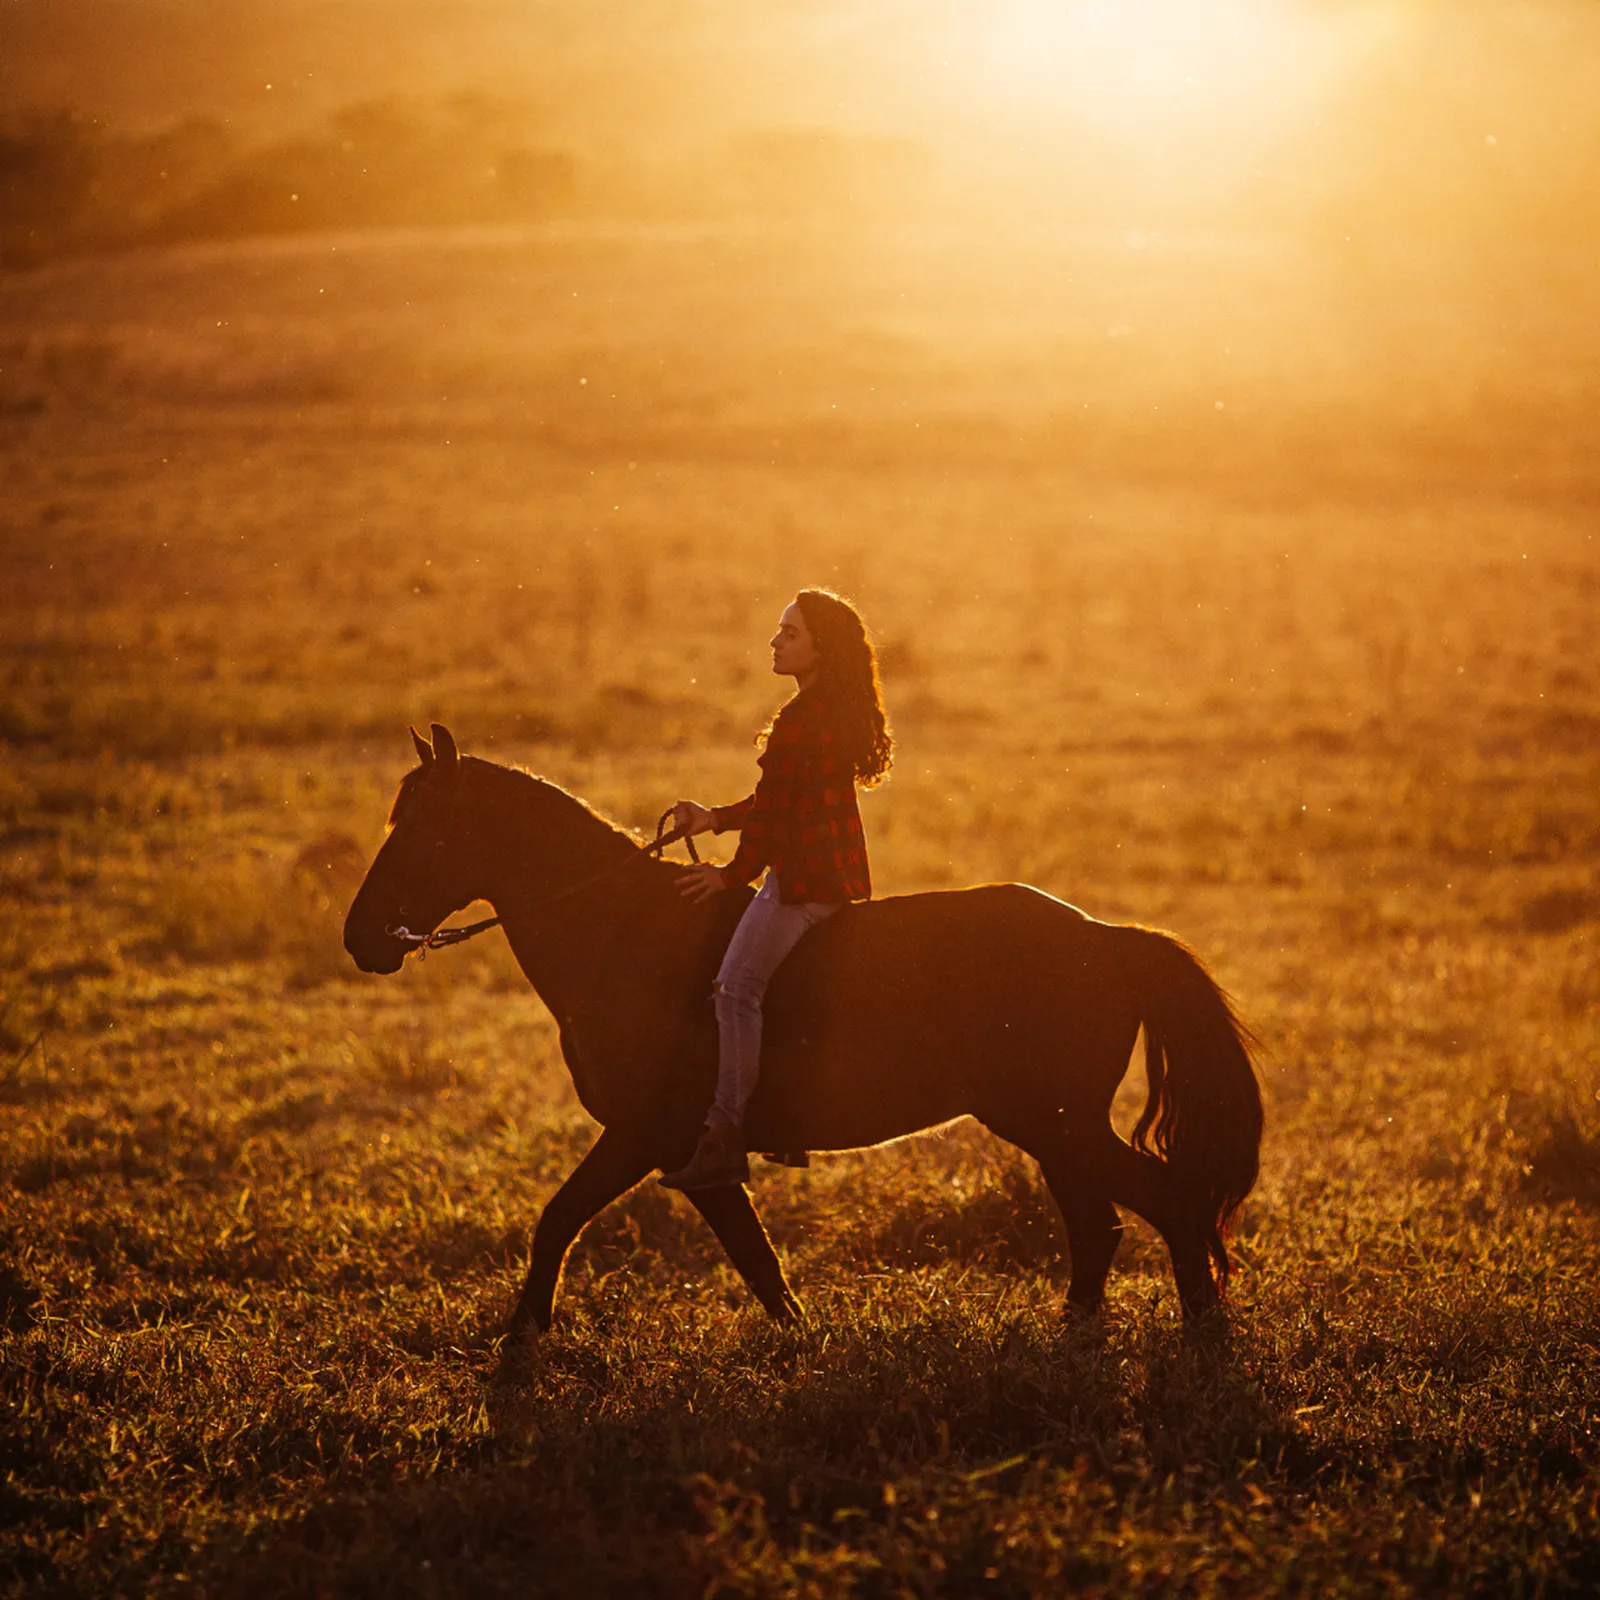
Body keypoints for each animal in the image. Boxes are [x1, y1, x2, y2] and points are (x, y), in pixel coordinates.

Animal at [343, 724, 1264, 1338]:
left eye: (424, 829)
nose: (360, 938)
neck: (625, 936)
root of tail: (1105, 937)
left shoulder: (652, 1137)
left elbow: (580, 1223)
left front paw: (521, 1342)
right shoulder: (673, 1151)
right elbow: (739, 1258)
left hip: (1055, 1123)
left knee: (1164, 1204)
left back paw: (1200, 1338)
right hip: (1053, 1128)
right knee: (1100, 1224)